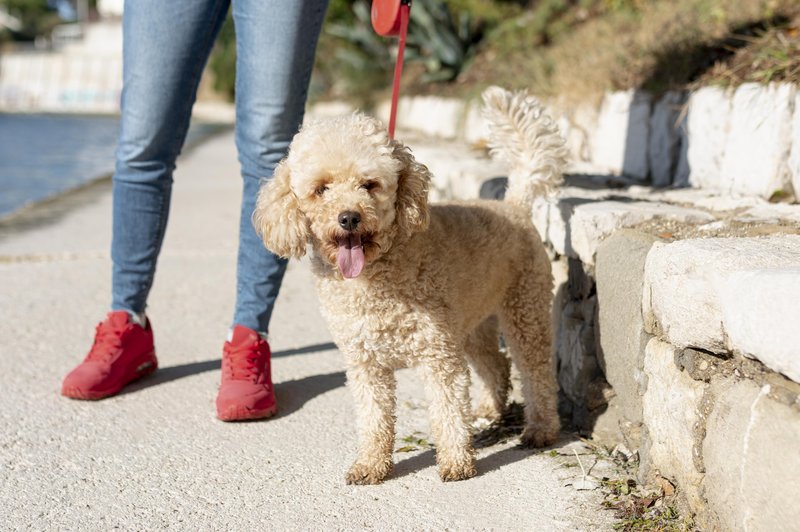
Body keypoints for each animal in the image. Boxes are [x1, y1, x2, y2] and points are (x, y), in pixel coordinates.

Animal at [253, 85, 564, 484]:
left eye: (369, 185)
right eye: (321, 189)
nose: (349, 217)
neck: (376, 277)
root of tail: (515, 205)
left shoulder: (438, 355)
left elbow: (447, 411)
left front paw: (456, 462)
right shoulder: (365, 363)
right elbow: (374, 418)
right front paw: (371, 464)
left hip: (525, 311)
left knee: (536, 371)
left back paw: (541, 428)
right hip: (473, 325)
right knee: (496, 365)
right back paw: (488, 409)